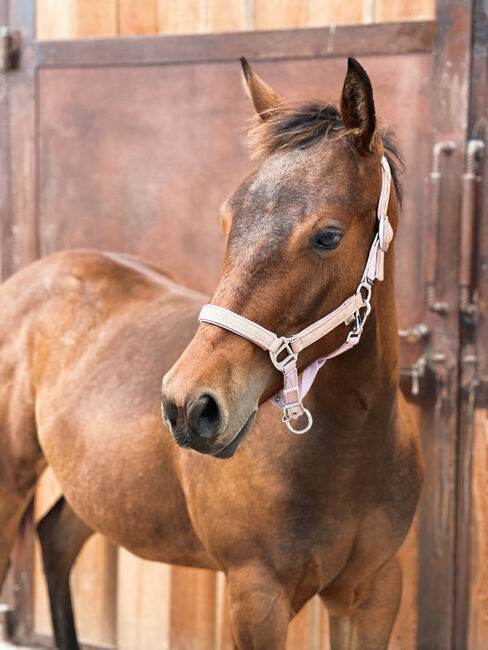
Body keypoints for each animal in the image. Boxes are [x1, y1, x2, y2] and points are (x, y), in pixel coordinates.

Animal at [0, 58, 424, 644]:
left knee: (56, 539)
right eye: (228, 221)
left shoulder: (373, 595)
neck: (352, 451)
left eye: (328, 236)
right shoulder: (256, 599)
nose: (188, 405)